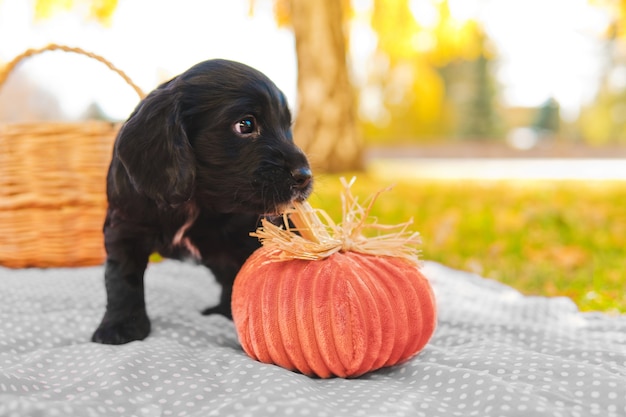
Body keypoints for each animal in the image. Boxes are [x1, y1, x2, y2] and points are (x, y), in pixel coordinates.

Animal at [91, 59, 310, 344]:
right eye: (245, 124)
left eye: (287, 126)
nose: (304, 175)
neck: (196, 200)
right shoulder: (126, 228)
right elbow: (122, 279)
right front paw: (120, 326)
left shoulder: (246, 238)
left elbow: (245, 282)